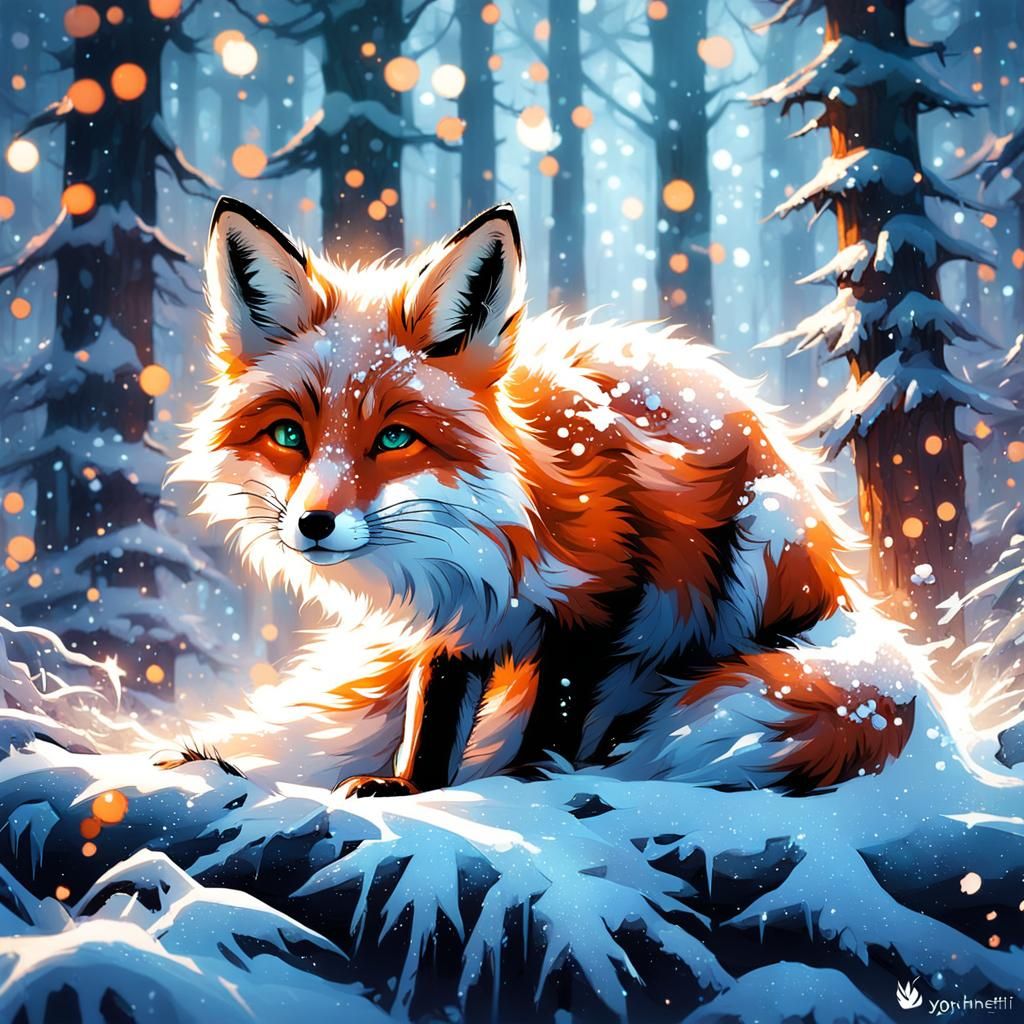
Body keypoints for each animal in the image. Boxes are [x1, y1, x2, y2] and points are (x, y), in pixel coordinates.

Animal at [171, 196, 916, 797]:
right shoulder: (457, 617)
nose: (314, 523)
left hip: (754, 556)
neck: (492, 526)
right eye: (289, 434)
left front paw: (529, 779)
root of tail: (846, 592)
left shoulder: (605, 598)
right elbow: (434, 713)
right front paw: (413, 786)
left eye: (395, 438)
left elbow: (557, 712)